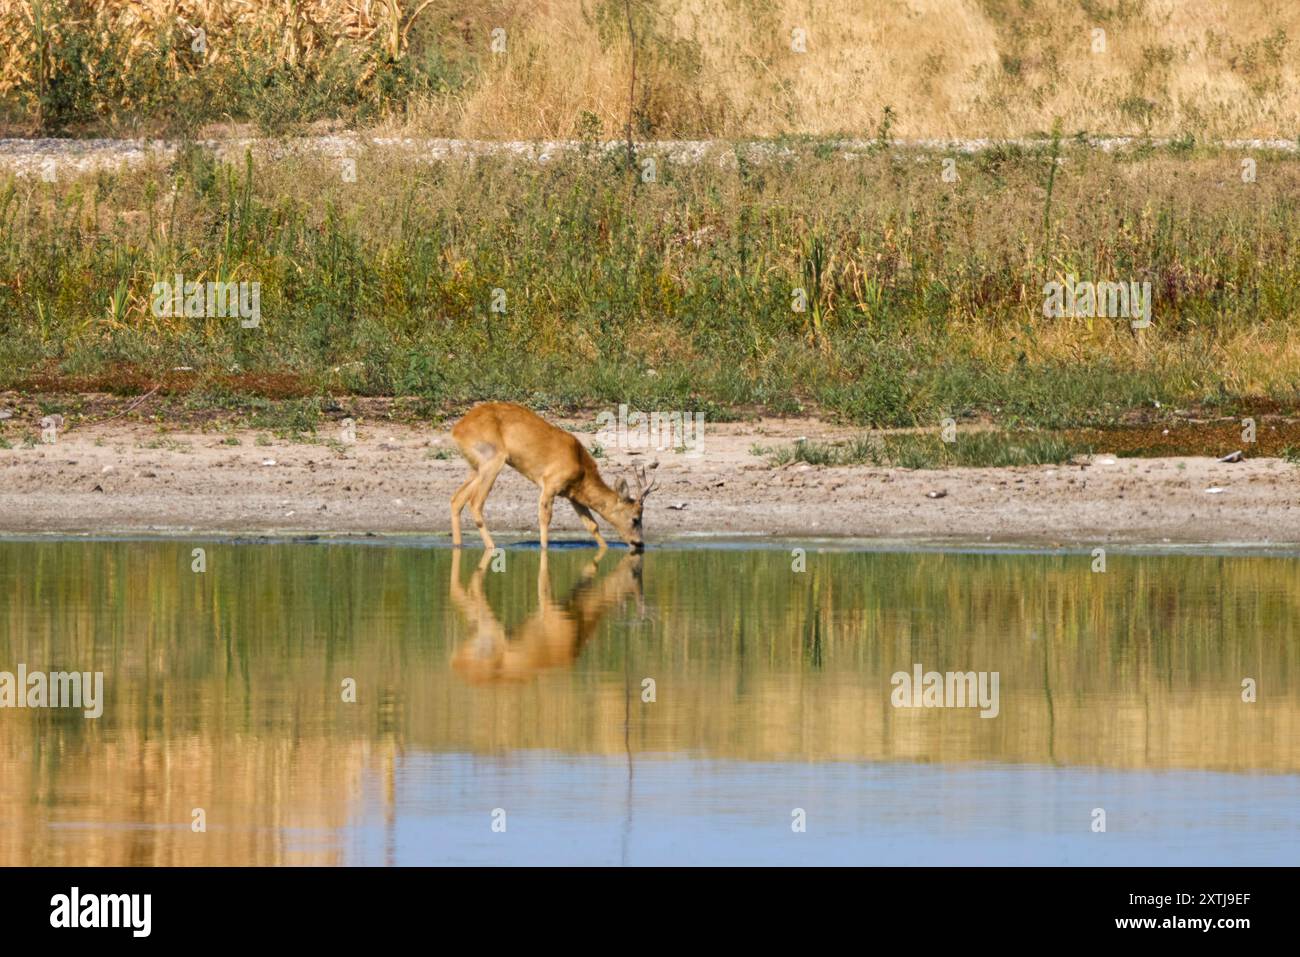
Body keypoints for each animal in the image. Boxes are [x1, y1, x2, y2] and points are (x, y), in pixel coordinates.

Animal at [449, 402, 657, 553]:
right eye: (635, 518)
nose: (639, 544)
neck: (580, 466)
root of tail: (457, 430)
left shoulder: (573, 496)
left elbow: (592, 525)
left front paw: (604, 547)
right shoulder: (550, 484)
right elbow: (545, 518)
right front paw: (544, 548)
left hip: (477, 467)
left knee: (456, 499)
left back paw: (458, 545)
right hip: (492, 460)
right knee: (475, 503)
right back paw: (491, 547)